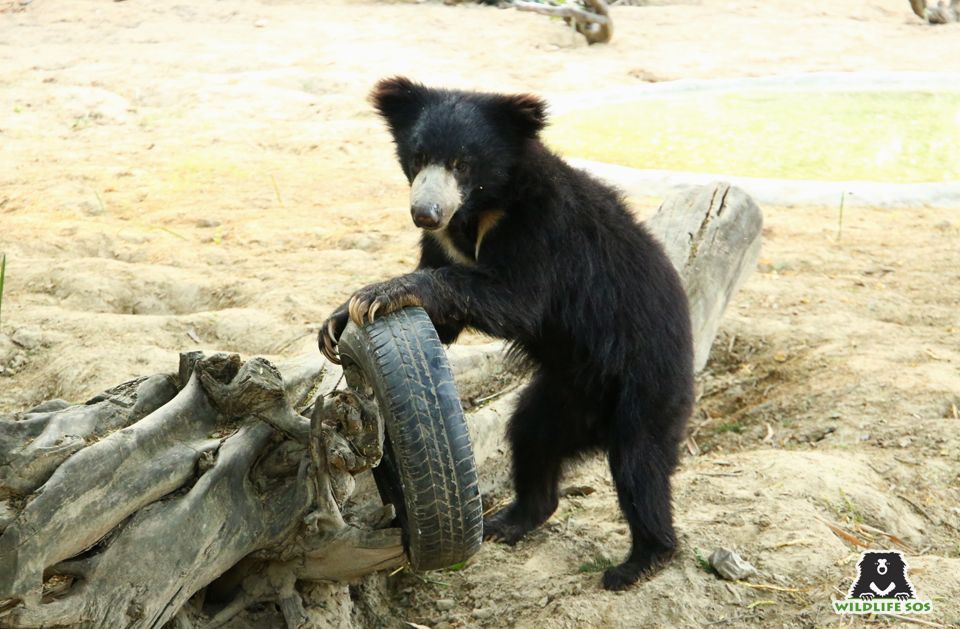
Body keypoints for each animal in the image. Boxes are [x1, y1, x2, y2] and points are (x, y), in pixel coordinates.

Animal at [318, 77, 692, 588]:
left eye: (462, 163)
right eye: (418, 157)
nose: (425, 213)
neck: (479, 209)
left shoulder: (543, 229)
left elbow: (516, 299)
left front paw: (379, 292)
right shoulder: (443, 242)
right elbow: (445, 322)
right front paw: (335, 321)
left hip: (648, 384)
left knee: (641, 466)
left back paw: (638, 562)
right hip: (562, 396)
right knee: (531, 438)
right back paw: (510, 521)